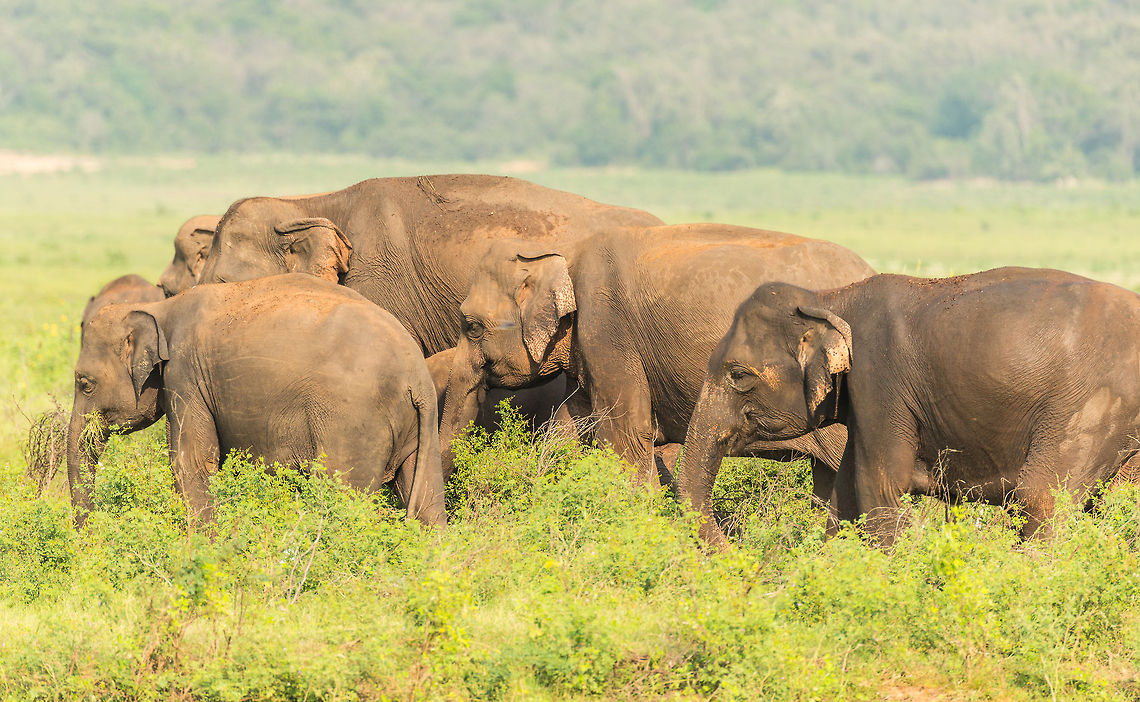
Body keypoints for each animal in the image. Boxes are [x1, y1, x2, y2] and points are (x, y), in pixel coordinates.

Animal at [68, 273, 446, 528]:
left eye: (84, 384)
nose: (89, 539)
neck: (157, 308)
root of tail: (417, 377)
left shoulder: (186, 375)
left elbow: (192, 463)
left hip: (351, 423)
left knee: (339, 494)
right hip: (418, 429)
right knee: (427, 502)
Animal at [677, 267, 1140, 546]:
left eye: (739, 375)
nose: (733, 553)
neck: (830, 297)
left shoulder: (880, 381)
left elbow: (878, 483)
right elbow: (845, 493)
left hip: (1088, 408)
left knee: (1043, 497)